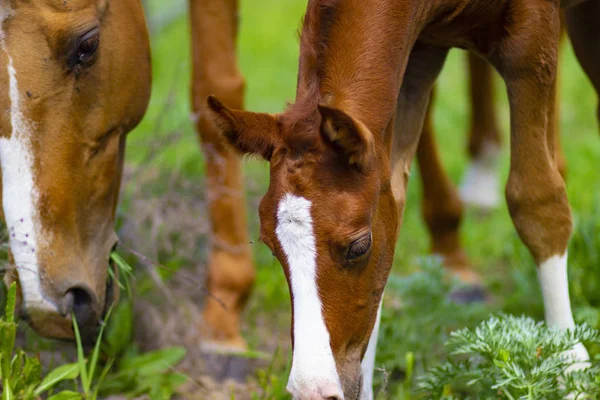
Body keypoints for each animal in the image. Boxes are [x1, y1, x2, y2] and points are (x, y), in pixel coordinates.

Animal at [207, 0, 600, 400]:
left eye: (358, 246)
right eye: (272, 248)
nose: (313, 390)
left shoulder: (532, 42)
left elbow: (536, 200)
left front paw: (570, 366)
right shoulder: (416, 60)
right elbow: (393, 207)